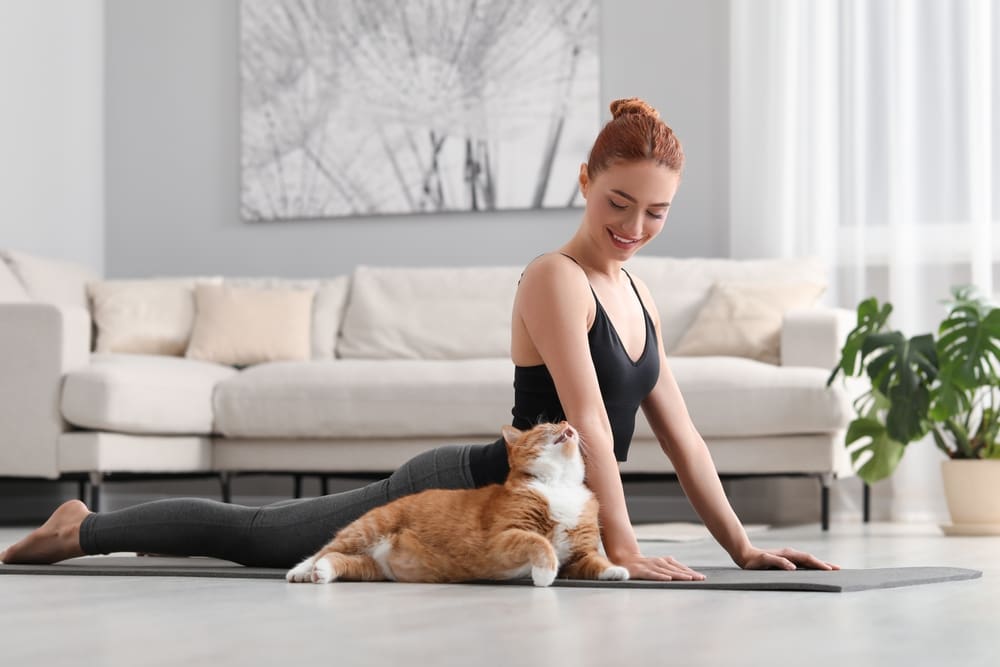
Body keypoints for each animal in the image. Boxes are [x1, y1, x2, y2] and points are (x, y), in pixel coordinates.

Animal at [288, 420, 624, 588]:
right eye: (545, 425)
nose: (567, 420)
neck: (560, 484)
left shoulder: (579, 555)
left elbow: (595, 562)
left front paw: (615, 571)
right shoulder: (502, 537)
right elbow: (539, 543)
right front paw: (544, 575)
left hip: (372, 568)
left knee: (339, 560)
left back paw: (322, 572)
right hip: (367, 529)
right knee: (325, 549)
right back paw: (301, 571)